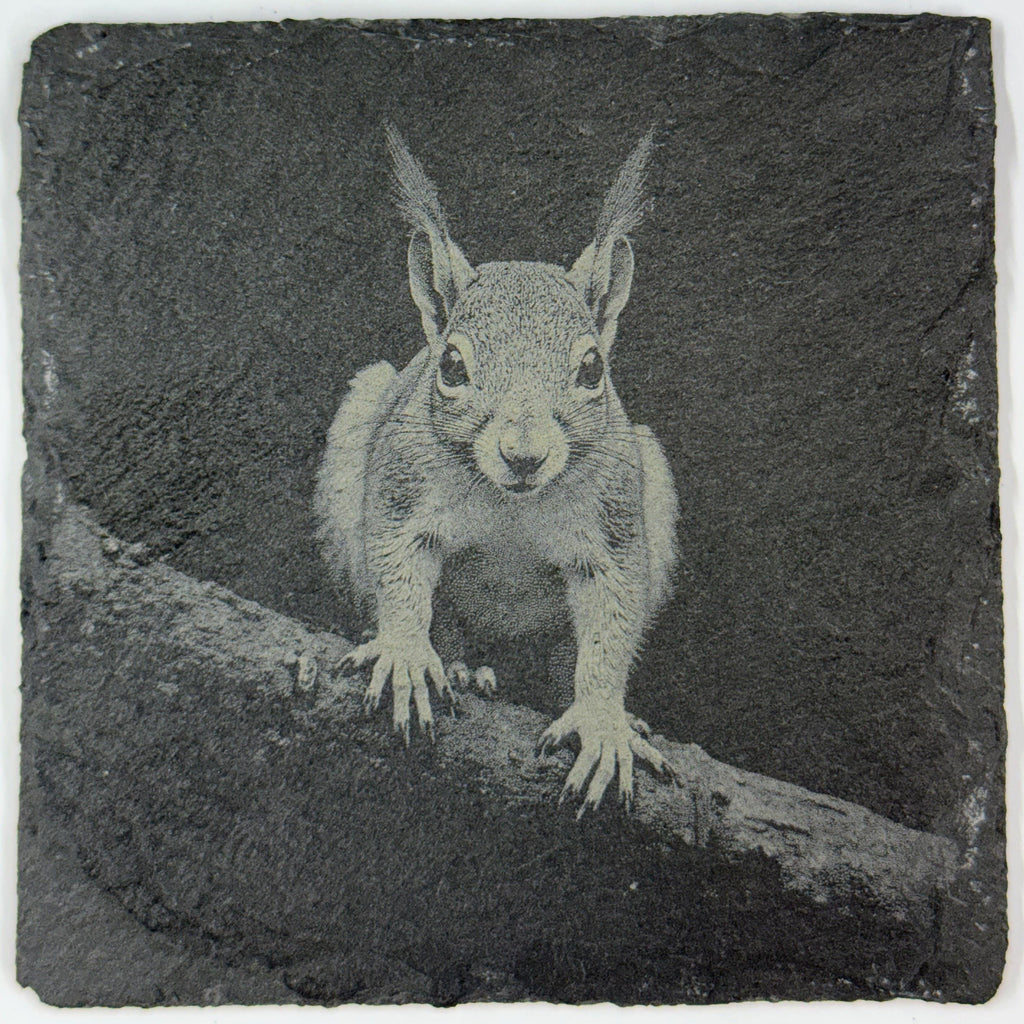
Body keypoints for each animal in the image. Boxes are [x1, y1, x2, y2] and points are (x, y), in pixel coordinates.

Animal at [314, 125, 680, 815]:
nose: (524, 455)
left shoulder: (616, 525)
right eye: (452, 366)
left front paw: (601, 720)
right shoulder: (403, 489)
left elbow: (610, 622)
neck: (513, 504)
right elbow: (399, 574)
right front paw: (405, 651)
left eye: (593, 369)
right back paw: (461, 665)